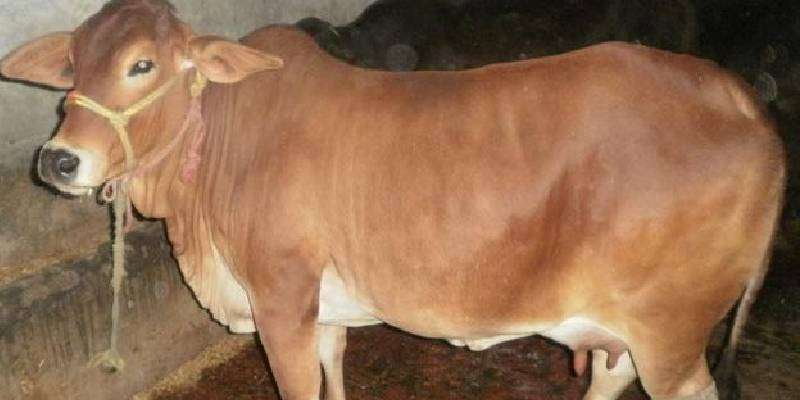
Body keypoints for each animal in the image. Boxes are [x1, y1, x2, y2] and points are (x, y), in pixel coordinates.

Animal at [1, 1, 785, 399]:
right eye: (73, 60)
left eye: (143, 64)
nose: (59, 159)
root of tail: (738, 97)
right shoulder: (322, 309)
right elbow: (334, 370)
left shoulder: (279, 302)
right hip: (626, 333)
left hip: (670, 335)